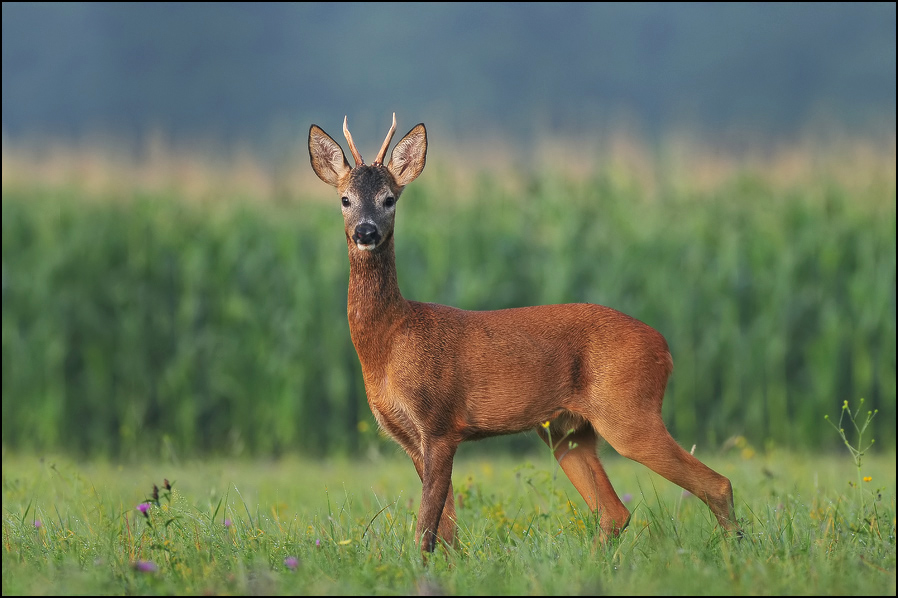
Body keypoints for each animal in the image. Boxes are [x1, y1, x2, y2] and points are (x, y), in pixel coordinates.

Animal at [304, 115, 740, 556]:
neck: (392, 339)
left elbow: (426, 528)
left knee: (716, 483)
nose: (366, 231)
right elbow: (447, 531)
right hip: (567, 431)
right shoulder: (410, 436)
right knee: (615, 512)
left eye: (389, 199)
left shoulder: (440, 422)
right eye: (345, 199)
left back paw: (735, 552)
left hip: (628, 411)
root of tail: (664, 347)